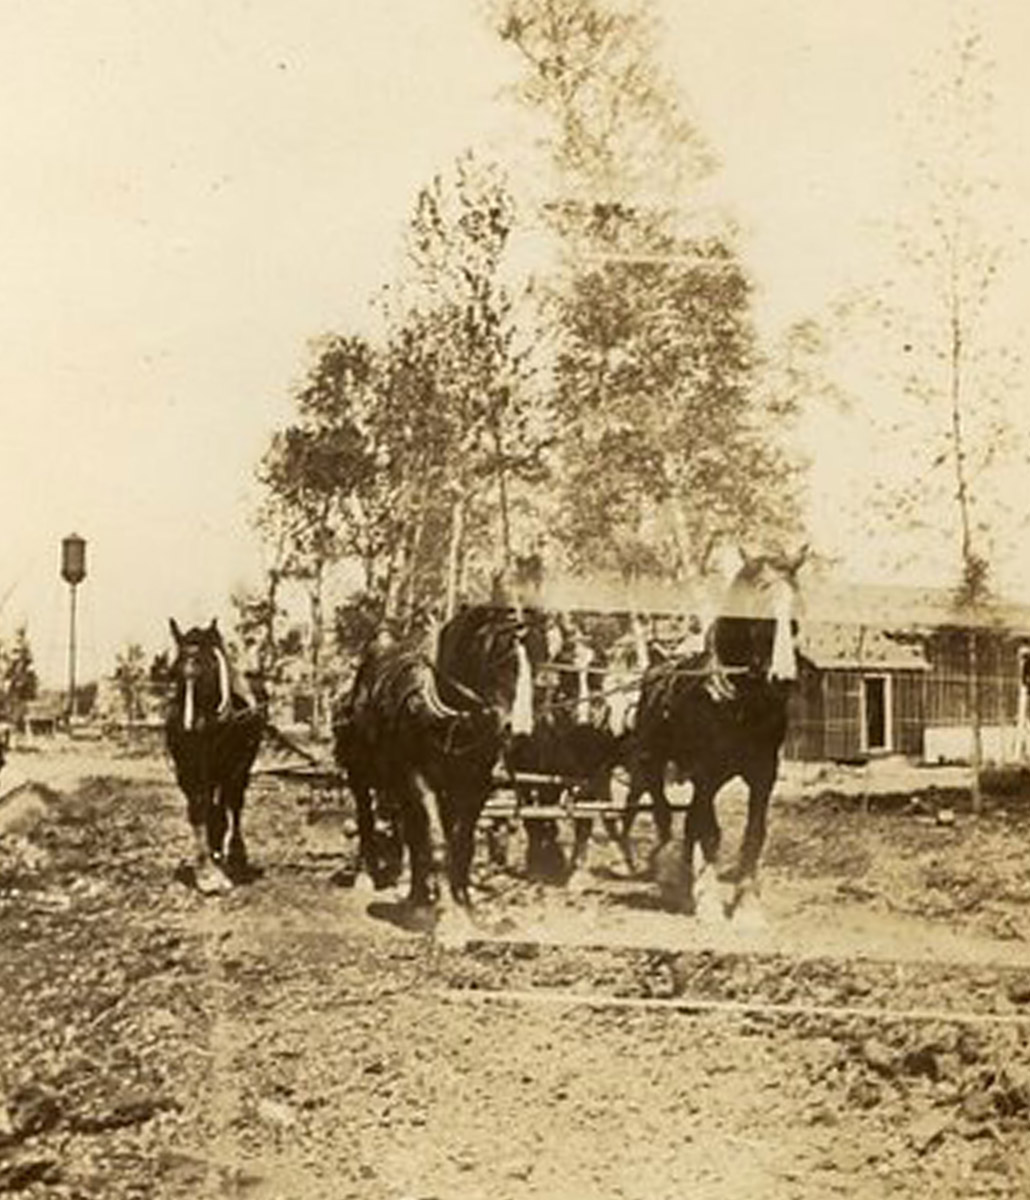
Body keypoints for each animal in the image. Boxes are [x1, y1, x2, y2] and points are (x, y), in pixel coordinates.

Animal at [164, 619, 265, 892]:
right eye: (174, 672)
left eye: (208, 668)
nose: (188, 727)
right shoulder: (186, 767)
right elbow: (198, 807)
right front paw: (206, 869)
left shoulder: (234, 765)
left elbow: (229, 802)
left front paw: (226, 857)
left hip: (241, 764)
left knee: (234, 801)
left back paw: (233, 850)